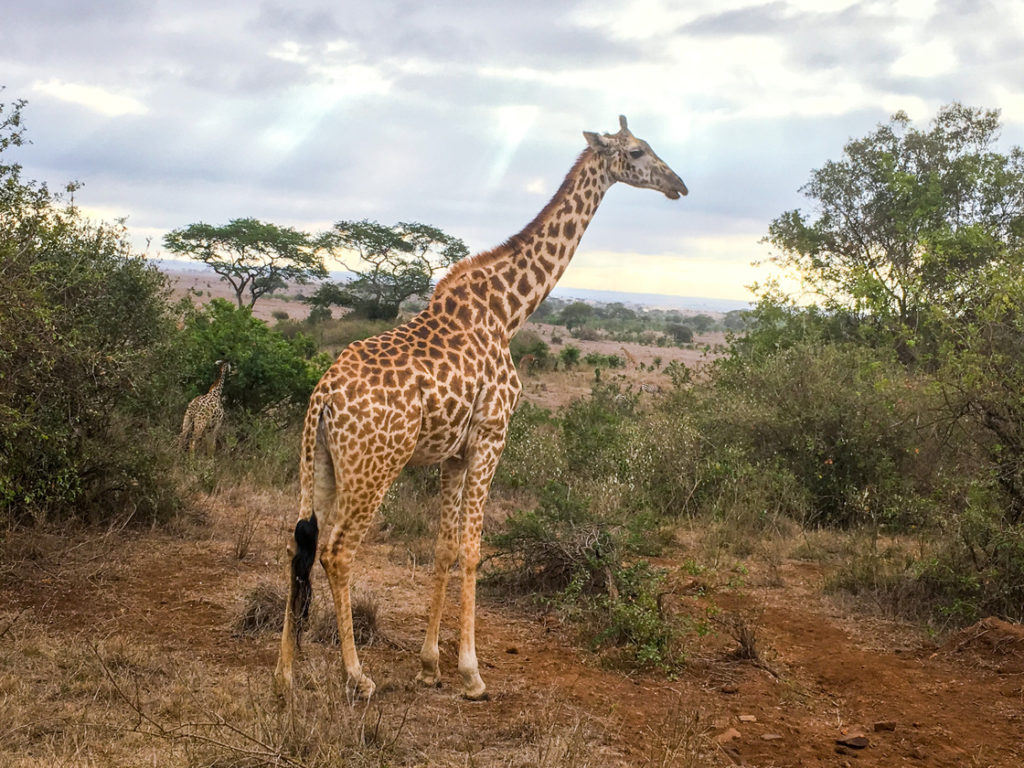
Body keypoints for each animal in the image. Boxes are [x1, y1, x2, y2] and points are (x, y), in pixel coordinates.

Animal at [272, 115, 688, 704]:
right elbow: (472, 550)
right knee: (337, 551)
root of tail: (323, 397)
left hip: (325, 466)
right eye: (637, 152)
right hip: (374, 467)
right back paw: (357, 676)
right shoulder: (492, 434)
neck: (509, 310)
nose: (680, 185)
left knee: (301, 546)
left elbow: (444, 548)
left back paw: (284, 676)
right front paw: (471, 673)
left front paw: (429, 666)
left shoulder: (453, 452)